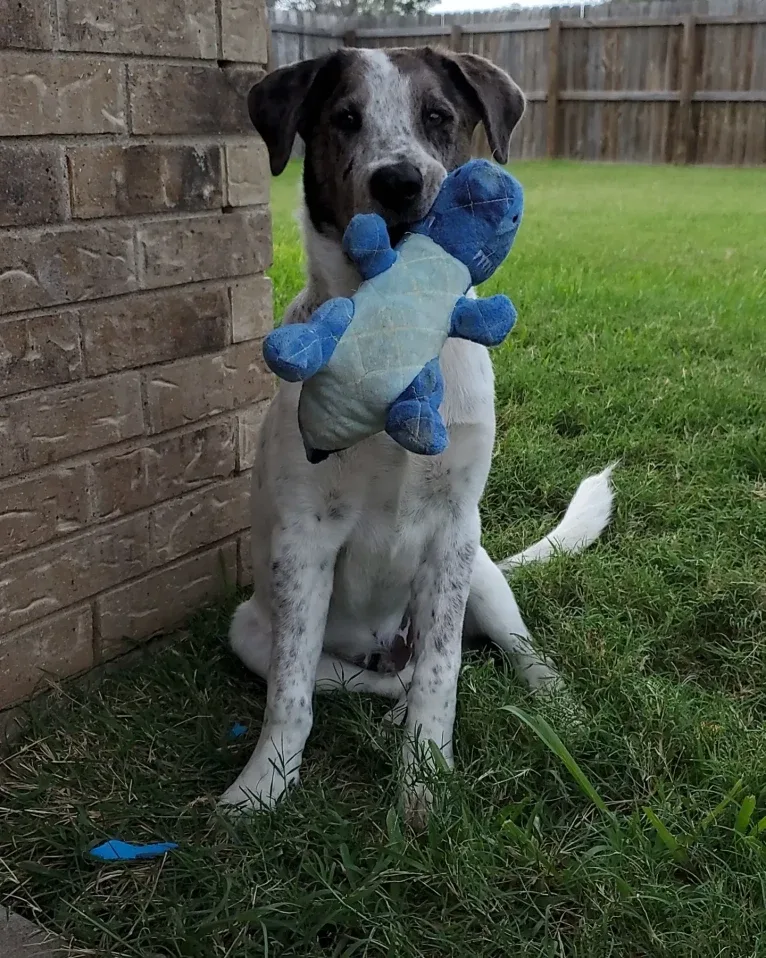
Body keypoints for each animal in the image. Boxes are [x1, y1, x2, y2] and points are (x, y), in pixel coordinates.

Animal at [219, 47, 616, 824]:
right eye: (345, 119)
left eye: (438, 116)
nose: (400, 181)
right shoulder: (303, 540)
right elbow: (291, 690)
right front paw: (262, 787)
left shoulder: (454, 529)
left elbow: (444, 671)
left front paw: (425, 781)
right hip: (249, 628)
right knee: (354, 679)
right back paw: (388, 704)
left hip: (484, 573)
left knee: (506, 653)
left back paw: (563, 711)